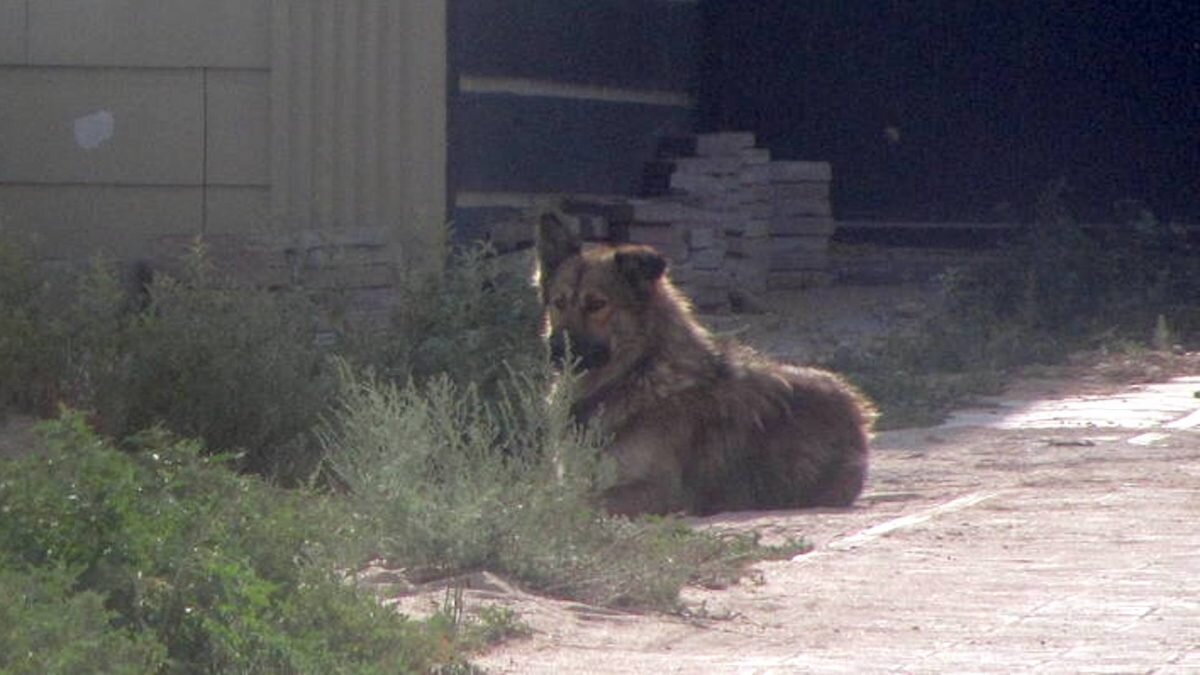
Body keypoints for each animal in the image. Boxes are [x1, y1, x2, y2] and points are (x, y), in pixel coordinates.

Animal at [535, 212, 873, 511]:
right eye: (559, 303)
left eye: (596, 304)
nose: (554, 350)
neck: (637, 372)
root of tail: (856, 408)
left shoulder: (658, 489)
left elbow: (574, 504)